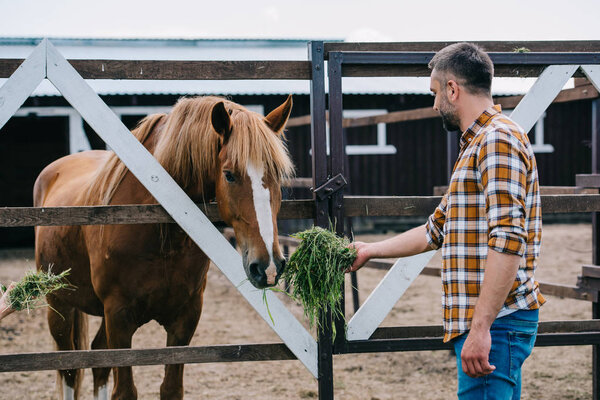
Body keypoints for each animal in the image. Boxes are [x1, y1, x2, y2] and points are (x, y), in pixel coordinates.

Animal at [33, 96, 296, 400]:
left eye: (278, 176)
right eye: (229, 175)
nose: (268, 266)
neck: (159, 232)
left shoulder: (185, 318)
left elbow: (170, 388)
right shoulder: (119, 317)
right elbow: (124, 391)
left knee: (98, 363)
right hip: (59, 306)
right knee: (68, 369)